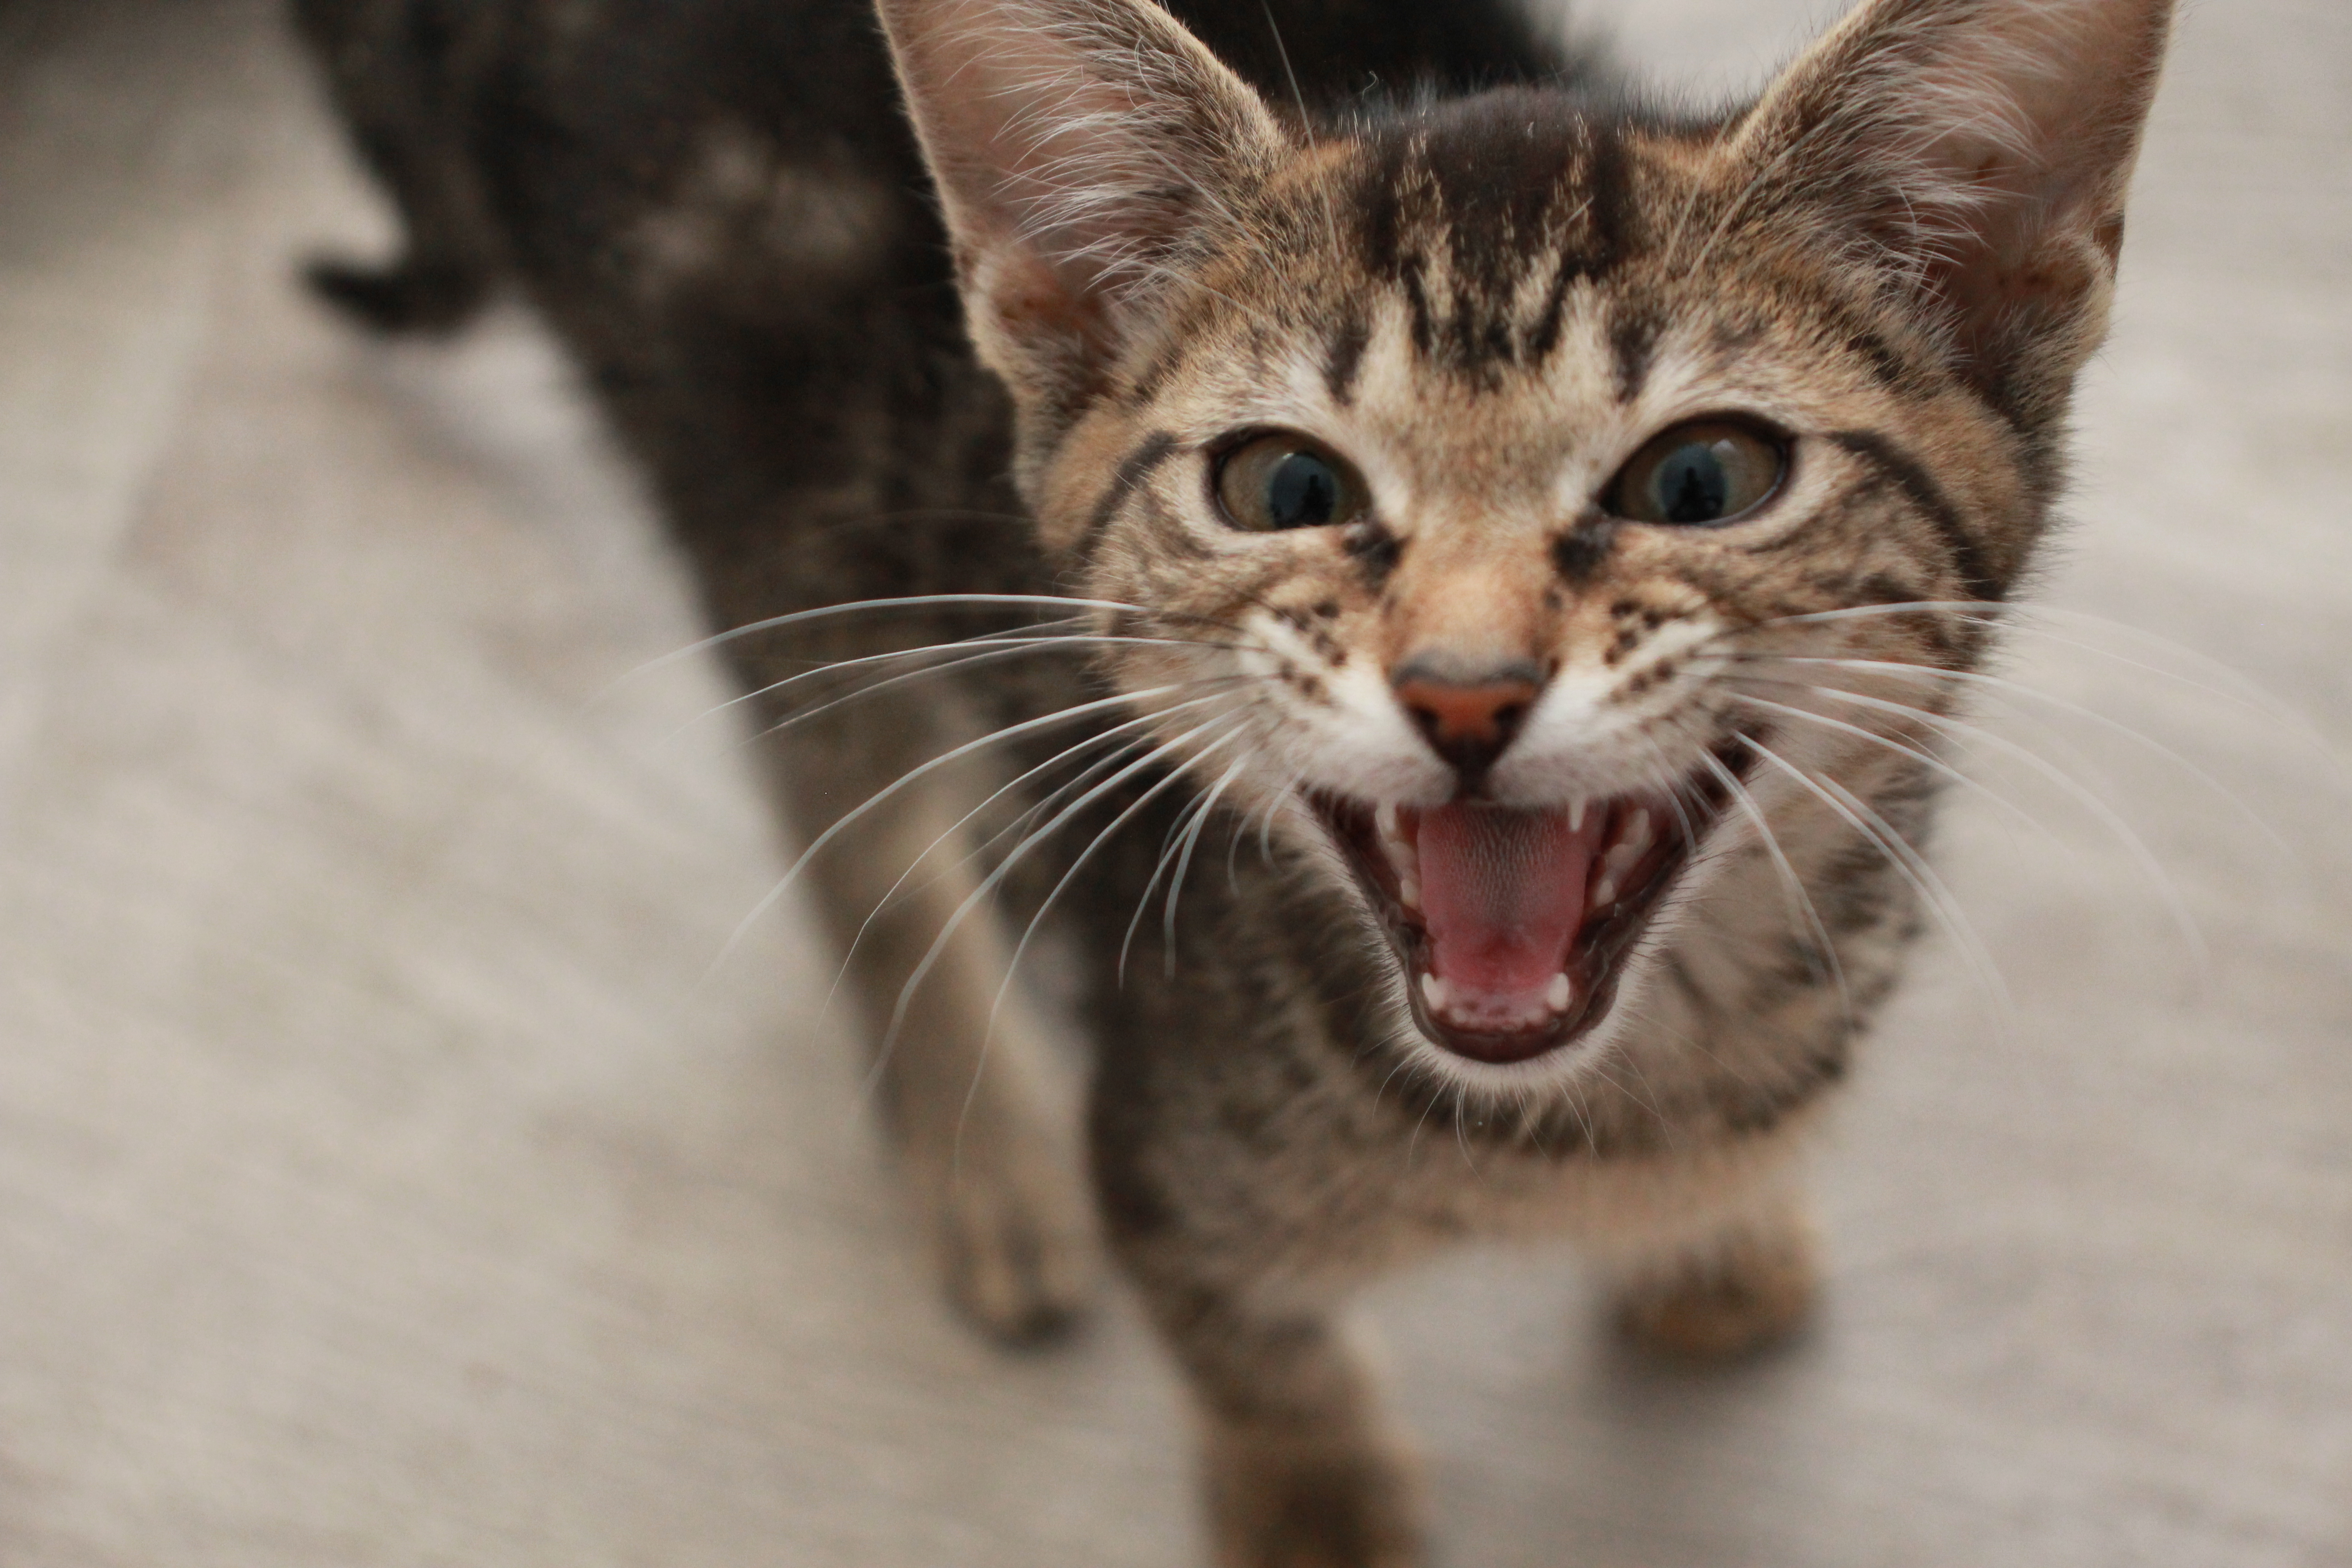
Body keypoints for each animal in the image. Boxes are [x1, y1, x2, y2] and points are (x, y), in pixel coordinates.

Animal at [299, 3, 2182, 1561]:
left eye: (1703, 478)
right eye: (1282, 487)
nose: (1465, 687)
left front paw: (1710, 1235)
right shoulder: (1162, 1148)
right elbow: (1244, 1337)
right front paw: (1312, 1500)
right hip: (763, 484)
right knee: (844, 807)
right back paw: (974, 1138)